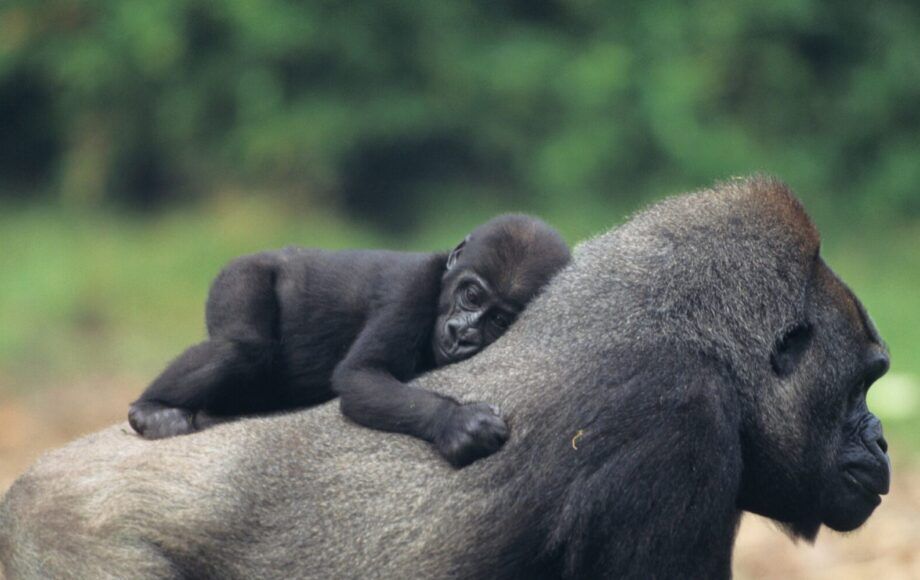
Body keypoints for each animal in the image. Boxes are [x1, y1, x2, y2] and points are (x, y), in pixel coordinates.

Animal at [127, 214, 571, 467]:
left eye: (498, 319)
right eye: (472, 295)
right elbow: (361, 375)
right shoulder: (410, 291)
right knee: (241, 348)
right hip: (241, 273)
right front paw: (457, 422)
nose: (462, 334)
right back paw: (150, 409)